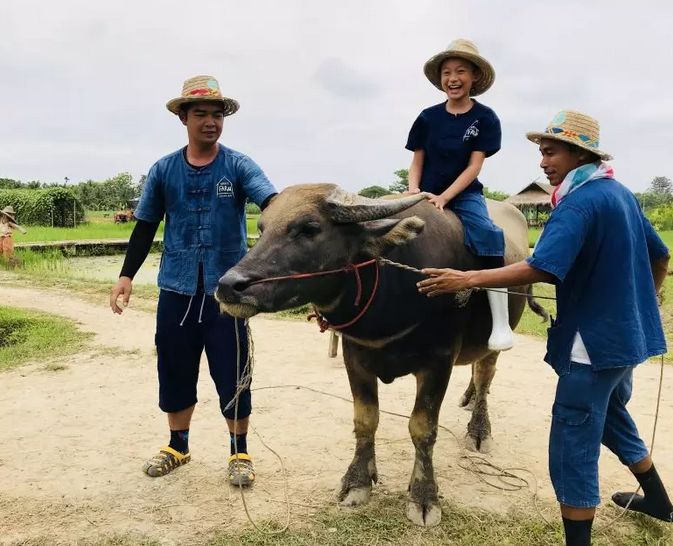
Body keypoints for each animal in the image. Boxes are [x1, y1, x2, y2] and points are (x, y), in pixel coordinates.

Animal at [215, 185, 544, 524]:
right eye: (263, 227)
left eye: (309, 228)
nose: (229, 285)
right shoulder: (355, 358)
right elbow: (365, 420)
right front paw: (358, 481)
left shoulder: (439, 362)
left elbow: (423, 429)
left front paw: (423, 496)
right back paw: (466, 399)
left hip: (497, 335)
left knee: (485, 376)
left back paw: (479, 430)